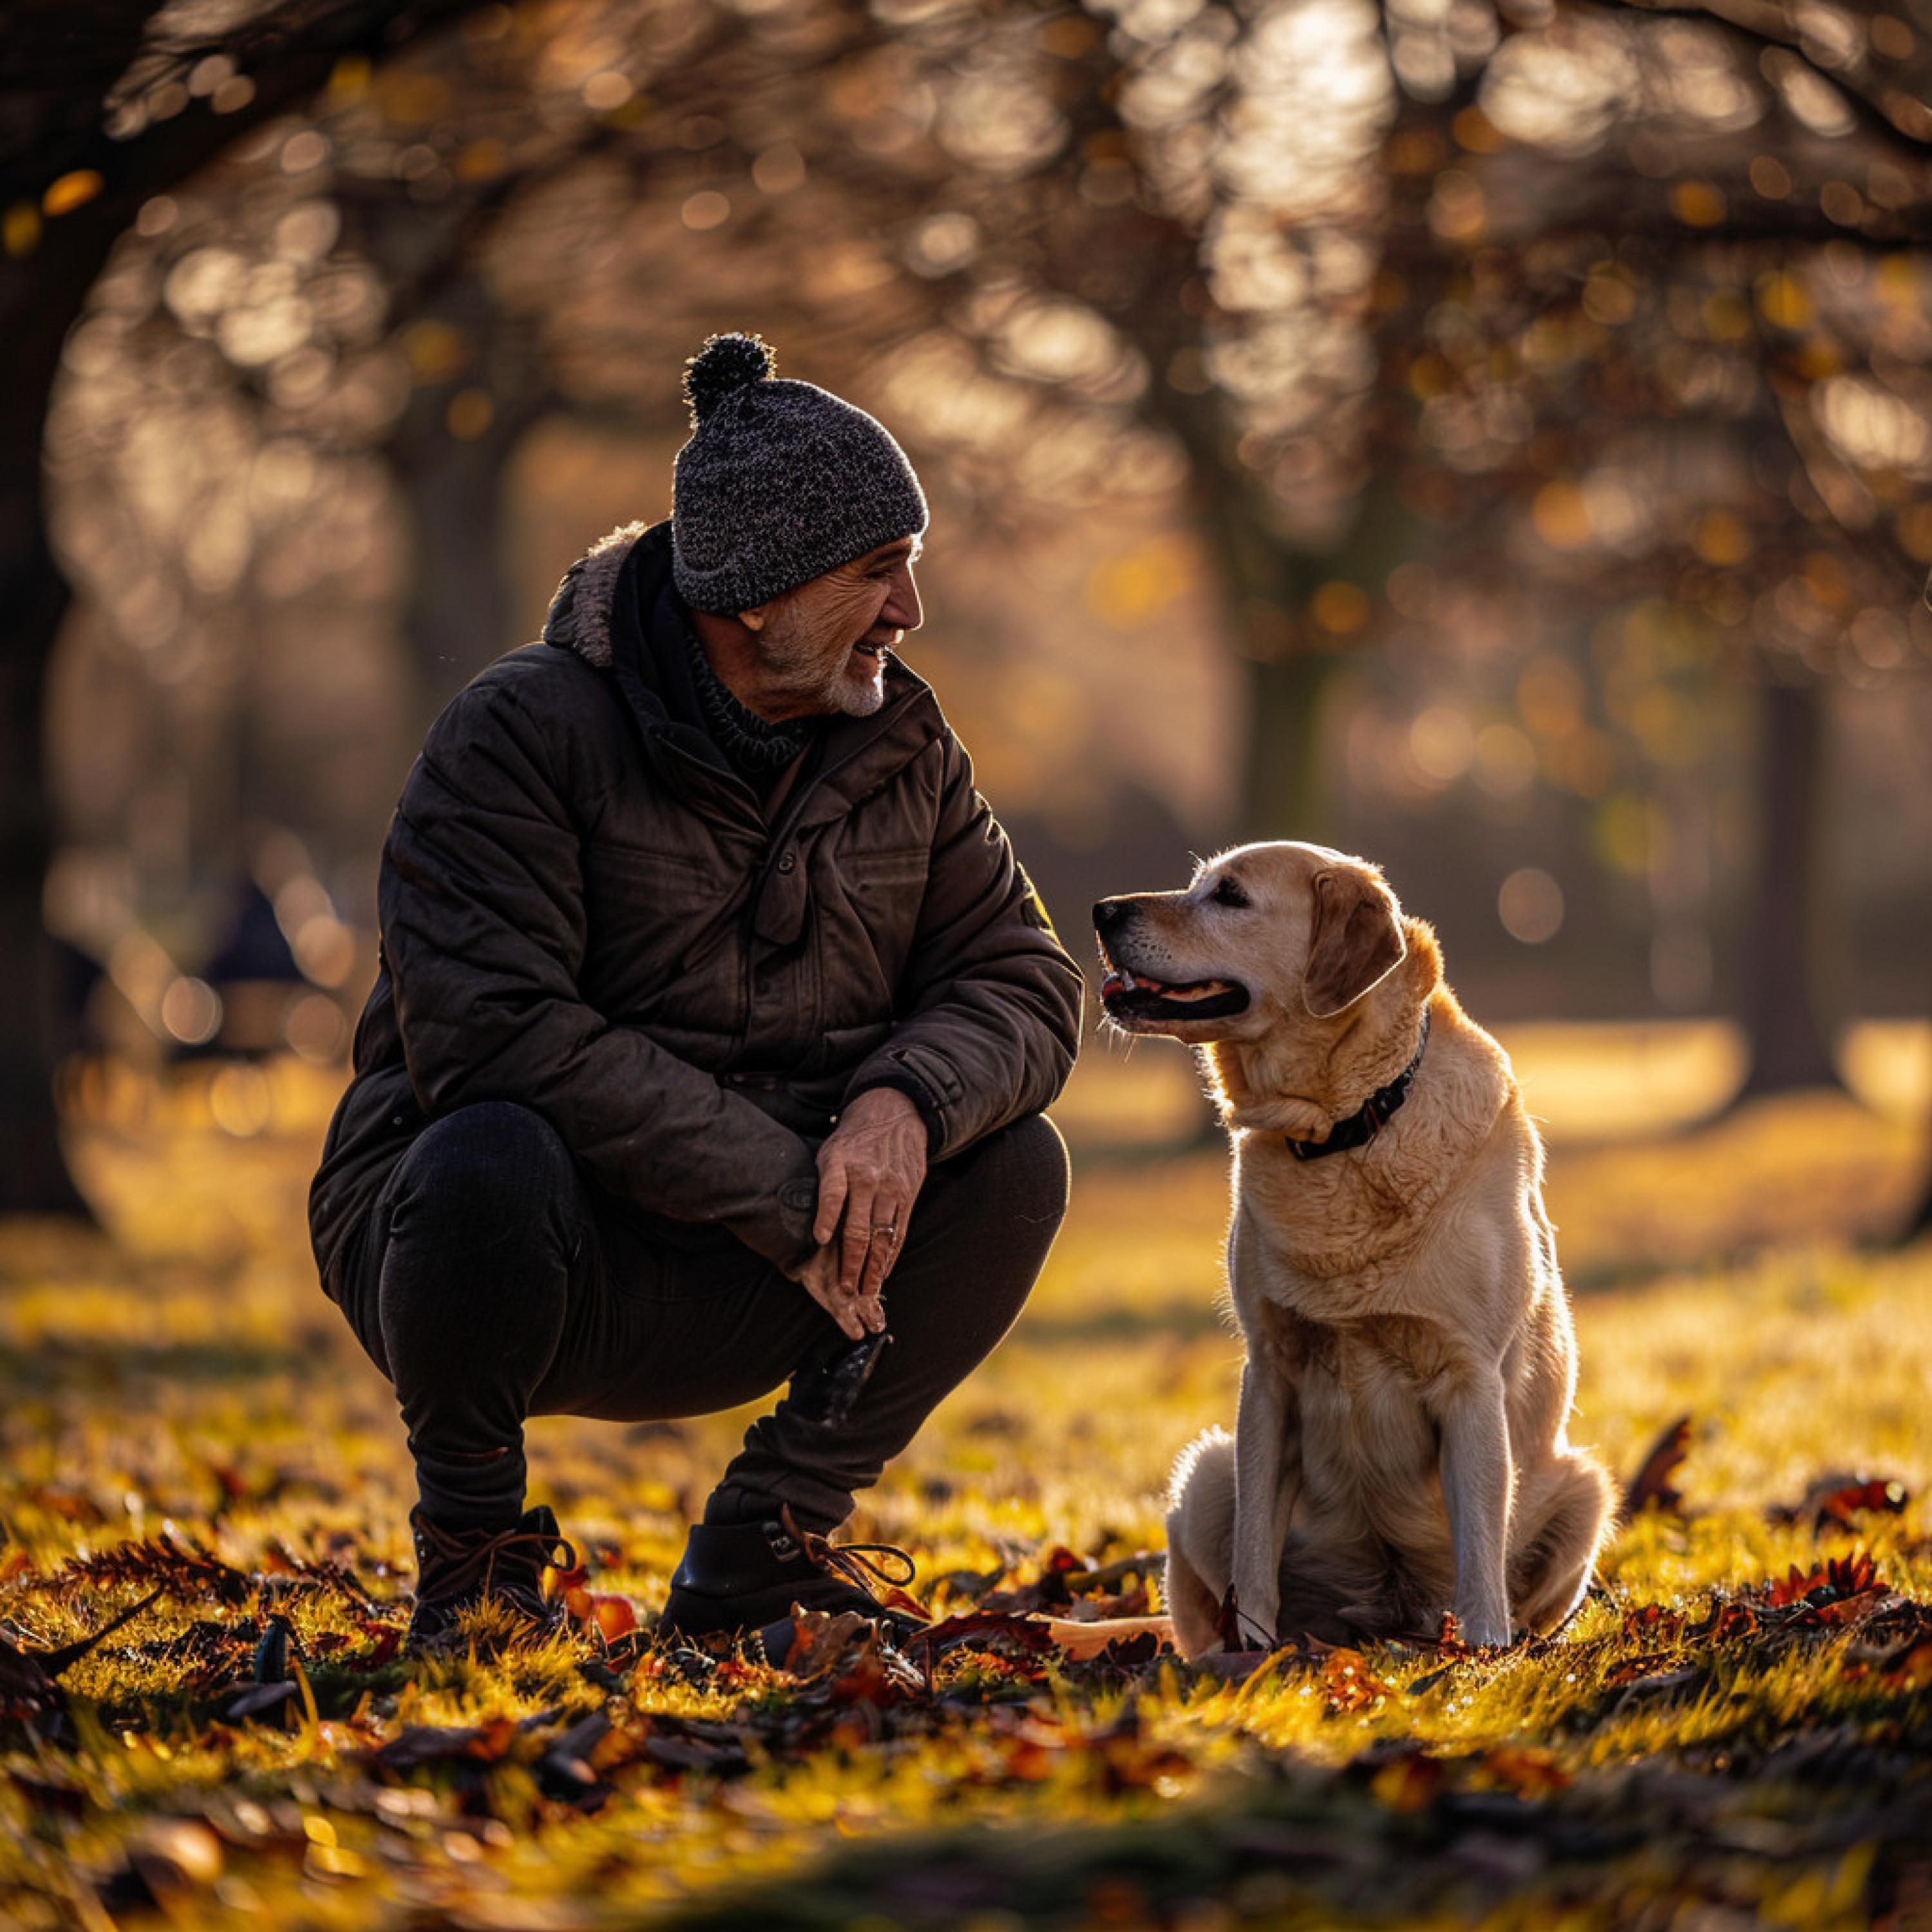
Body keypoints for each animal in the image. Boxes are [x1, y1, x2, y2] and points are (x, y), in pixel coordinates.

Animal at [1105, 838, 1615, 1654]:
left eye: (1229, 896)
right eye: (1197, 885)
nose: (1102, 911)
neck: (1347, 1130)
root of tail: (1386, 1617)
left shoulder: (1469, 1380)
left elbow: (1480, 1546)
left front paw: (1483, 1648)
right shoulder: (1270, 1374)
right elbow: (1255, 1553)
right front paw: (1255, 1652)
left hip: (1584, 1487)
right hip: (1207, 1472)